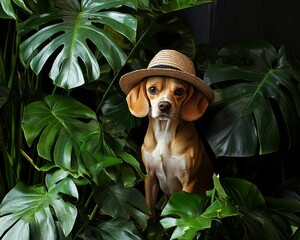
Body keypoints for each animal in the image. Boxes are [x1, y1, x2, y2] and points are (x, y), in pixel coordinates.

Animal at [118, 48, 214, 218]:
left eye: (179, 91)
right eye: (152, 89)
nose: (164, 105)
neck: (164, 134)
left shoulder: (188, 183)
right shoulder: (150, 177)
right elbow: (149, 211)